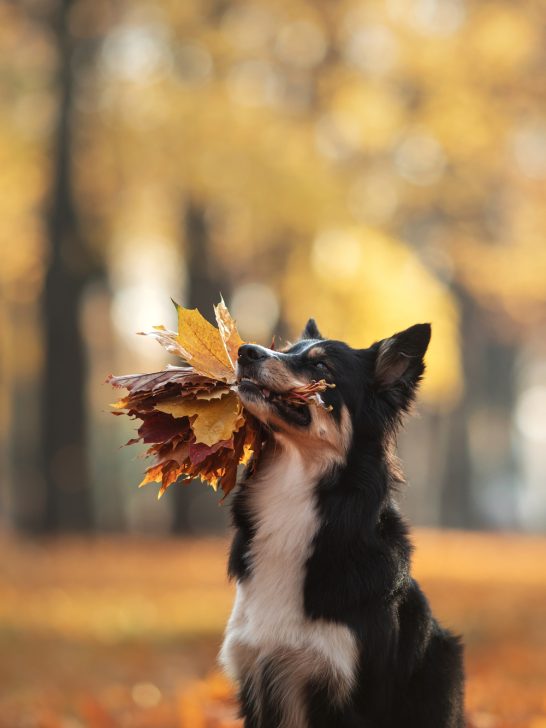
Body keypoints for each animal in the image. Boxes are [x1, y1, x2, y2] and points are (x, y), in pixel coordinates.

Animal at [218, 322, 464, 724]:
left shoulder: (350, 691)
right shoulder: (256, 674)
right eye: (288, 350)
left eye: (322, 367)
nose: (245, 351)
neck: (294, 497)